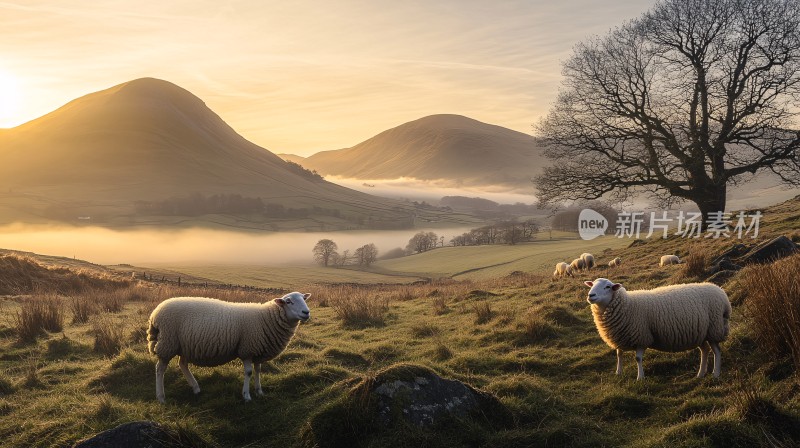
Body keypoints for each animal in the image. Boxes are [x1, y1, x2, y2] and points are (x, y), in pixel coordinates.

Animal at [145, 290, 310, 402]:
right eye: (288, 302)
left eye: (303, 299)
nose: (306, 312)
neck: (266, 318)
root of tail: (155, 314)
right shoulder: (247, 350)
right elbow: (249, 372)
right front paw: (246, 396)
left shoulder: (258, 351)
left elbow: (258, 371)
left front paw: (259, 391)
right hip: (168, 342)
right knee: (160, 369)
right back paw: (161, 397)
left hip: (184, 345)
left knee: (182, 364)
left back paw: (196, 388)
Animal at [580, 278, 732, 380]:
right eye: (592, 285)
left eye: (607, 287)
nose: (591, 295)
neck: (627, 304)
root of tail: (721, 292)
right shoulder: (619, 336)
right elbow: (619, 354)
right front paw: (618, 372)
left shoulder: (642, 336)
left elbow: (637, 358)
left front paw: (640, 378)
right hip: (700, 333)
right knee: (705, 350)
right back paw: (700, 374)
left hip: (714, 329)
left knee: (717, 351)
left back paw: (715, 374)